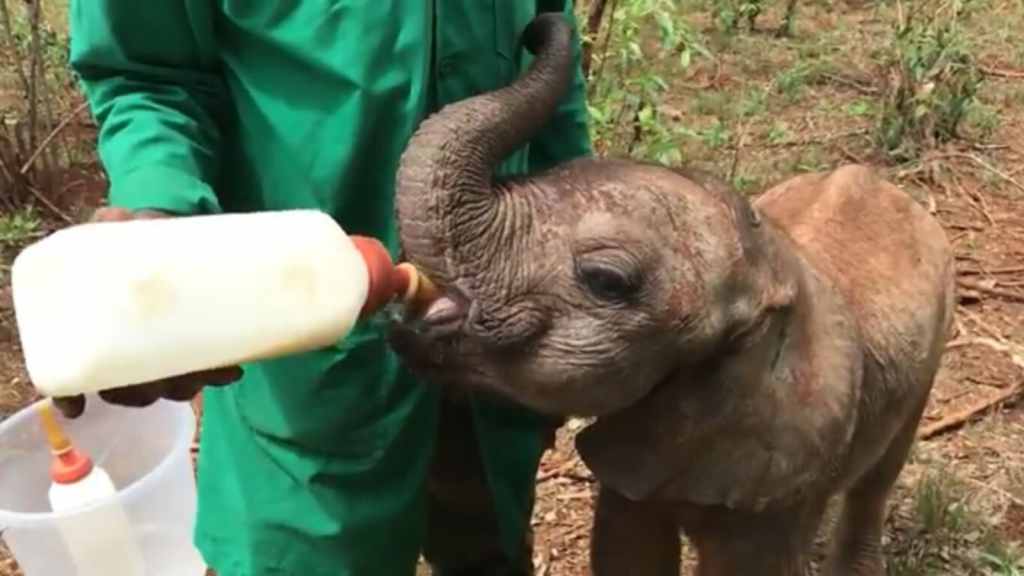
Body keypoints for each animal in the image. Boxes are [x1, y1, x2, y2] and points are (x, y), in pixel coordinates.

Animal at [388, 13, 956, 576]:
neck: (769, 266)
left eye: (607, 280)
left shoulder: (782, 469)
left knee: (879, 476)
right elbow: (627, 548)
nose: (536, 26)